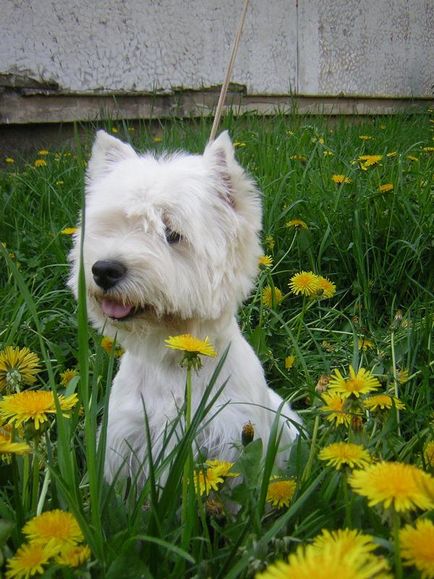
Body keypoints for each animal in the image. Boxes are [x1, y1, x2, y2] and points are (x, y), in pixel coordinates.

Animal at [70, 130, 302, 484]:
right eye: (113, 225)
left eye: (172, 233)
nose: (104, 270)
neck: (173, 357)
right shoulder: (125, 442)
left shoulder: (233, 439)